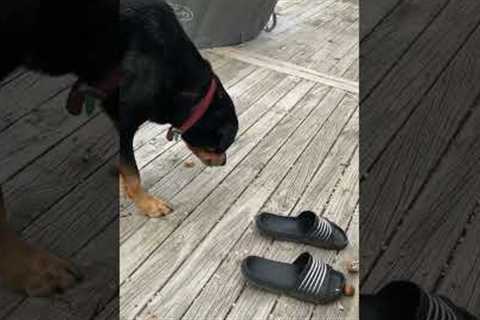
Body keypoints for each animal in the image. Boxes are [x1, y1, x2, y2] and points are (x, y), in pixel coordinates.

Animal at [0, 0, 239, 298]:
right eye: (222, 144)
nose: (224, 161)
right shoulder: (126, 121)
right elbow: (133, 171)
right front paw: (147, 203)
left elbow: (126, 163)